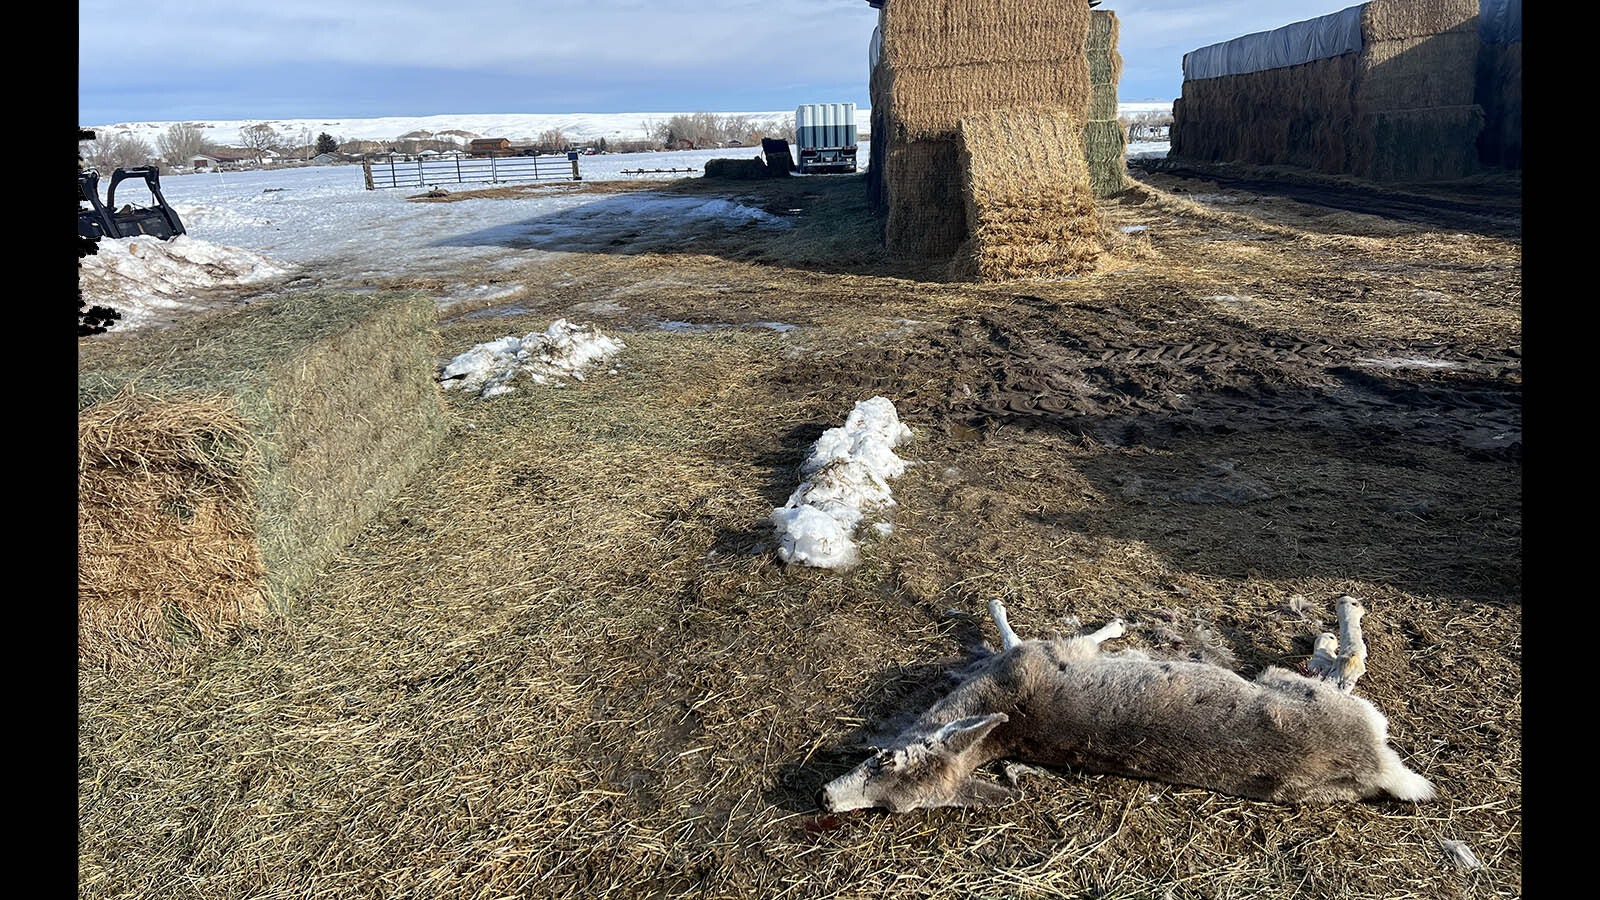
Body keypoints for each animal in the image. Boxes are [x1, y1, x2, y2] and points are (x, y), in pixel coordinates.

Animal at [819, 596, 1434, 813]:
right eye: (888, 809)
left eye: (885, 763)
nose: (826, 799)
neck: (1006, 719)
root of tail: (1380, 764)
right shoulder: (1034, 655)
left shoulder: (1036, 653)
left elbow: (1015, 626)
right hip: (1290, 685)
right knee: (1345, 669)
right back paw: (1335, 624)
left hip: (1297, 687)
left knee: (1348, 665)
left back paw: (1338, 616)